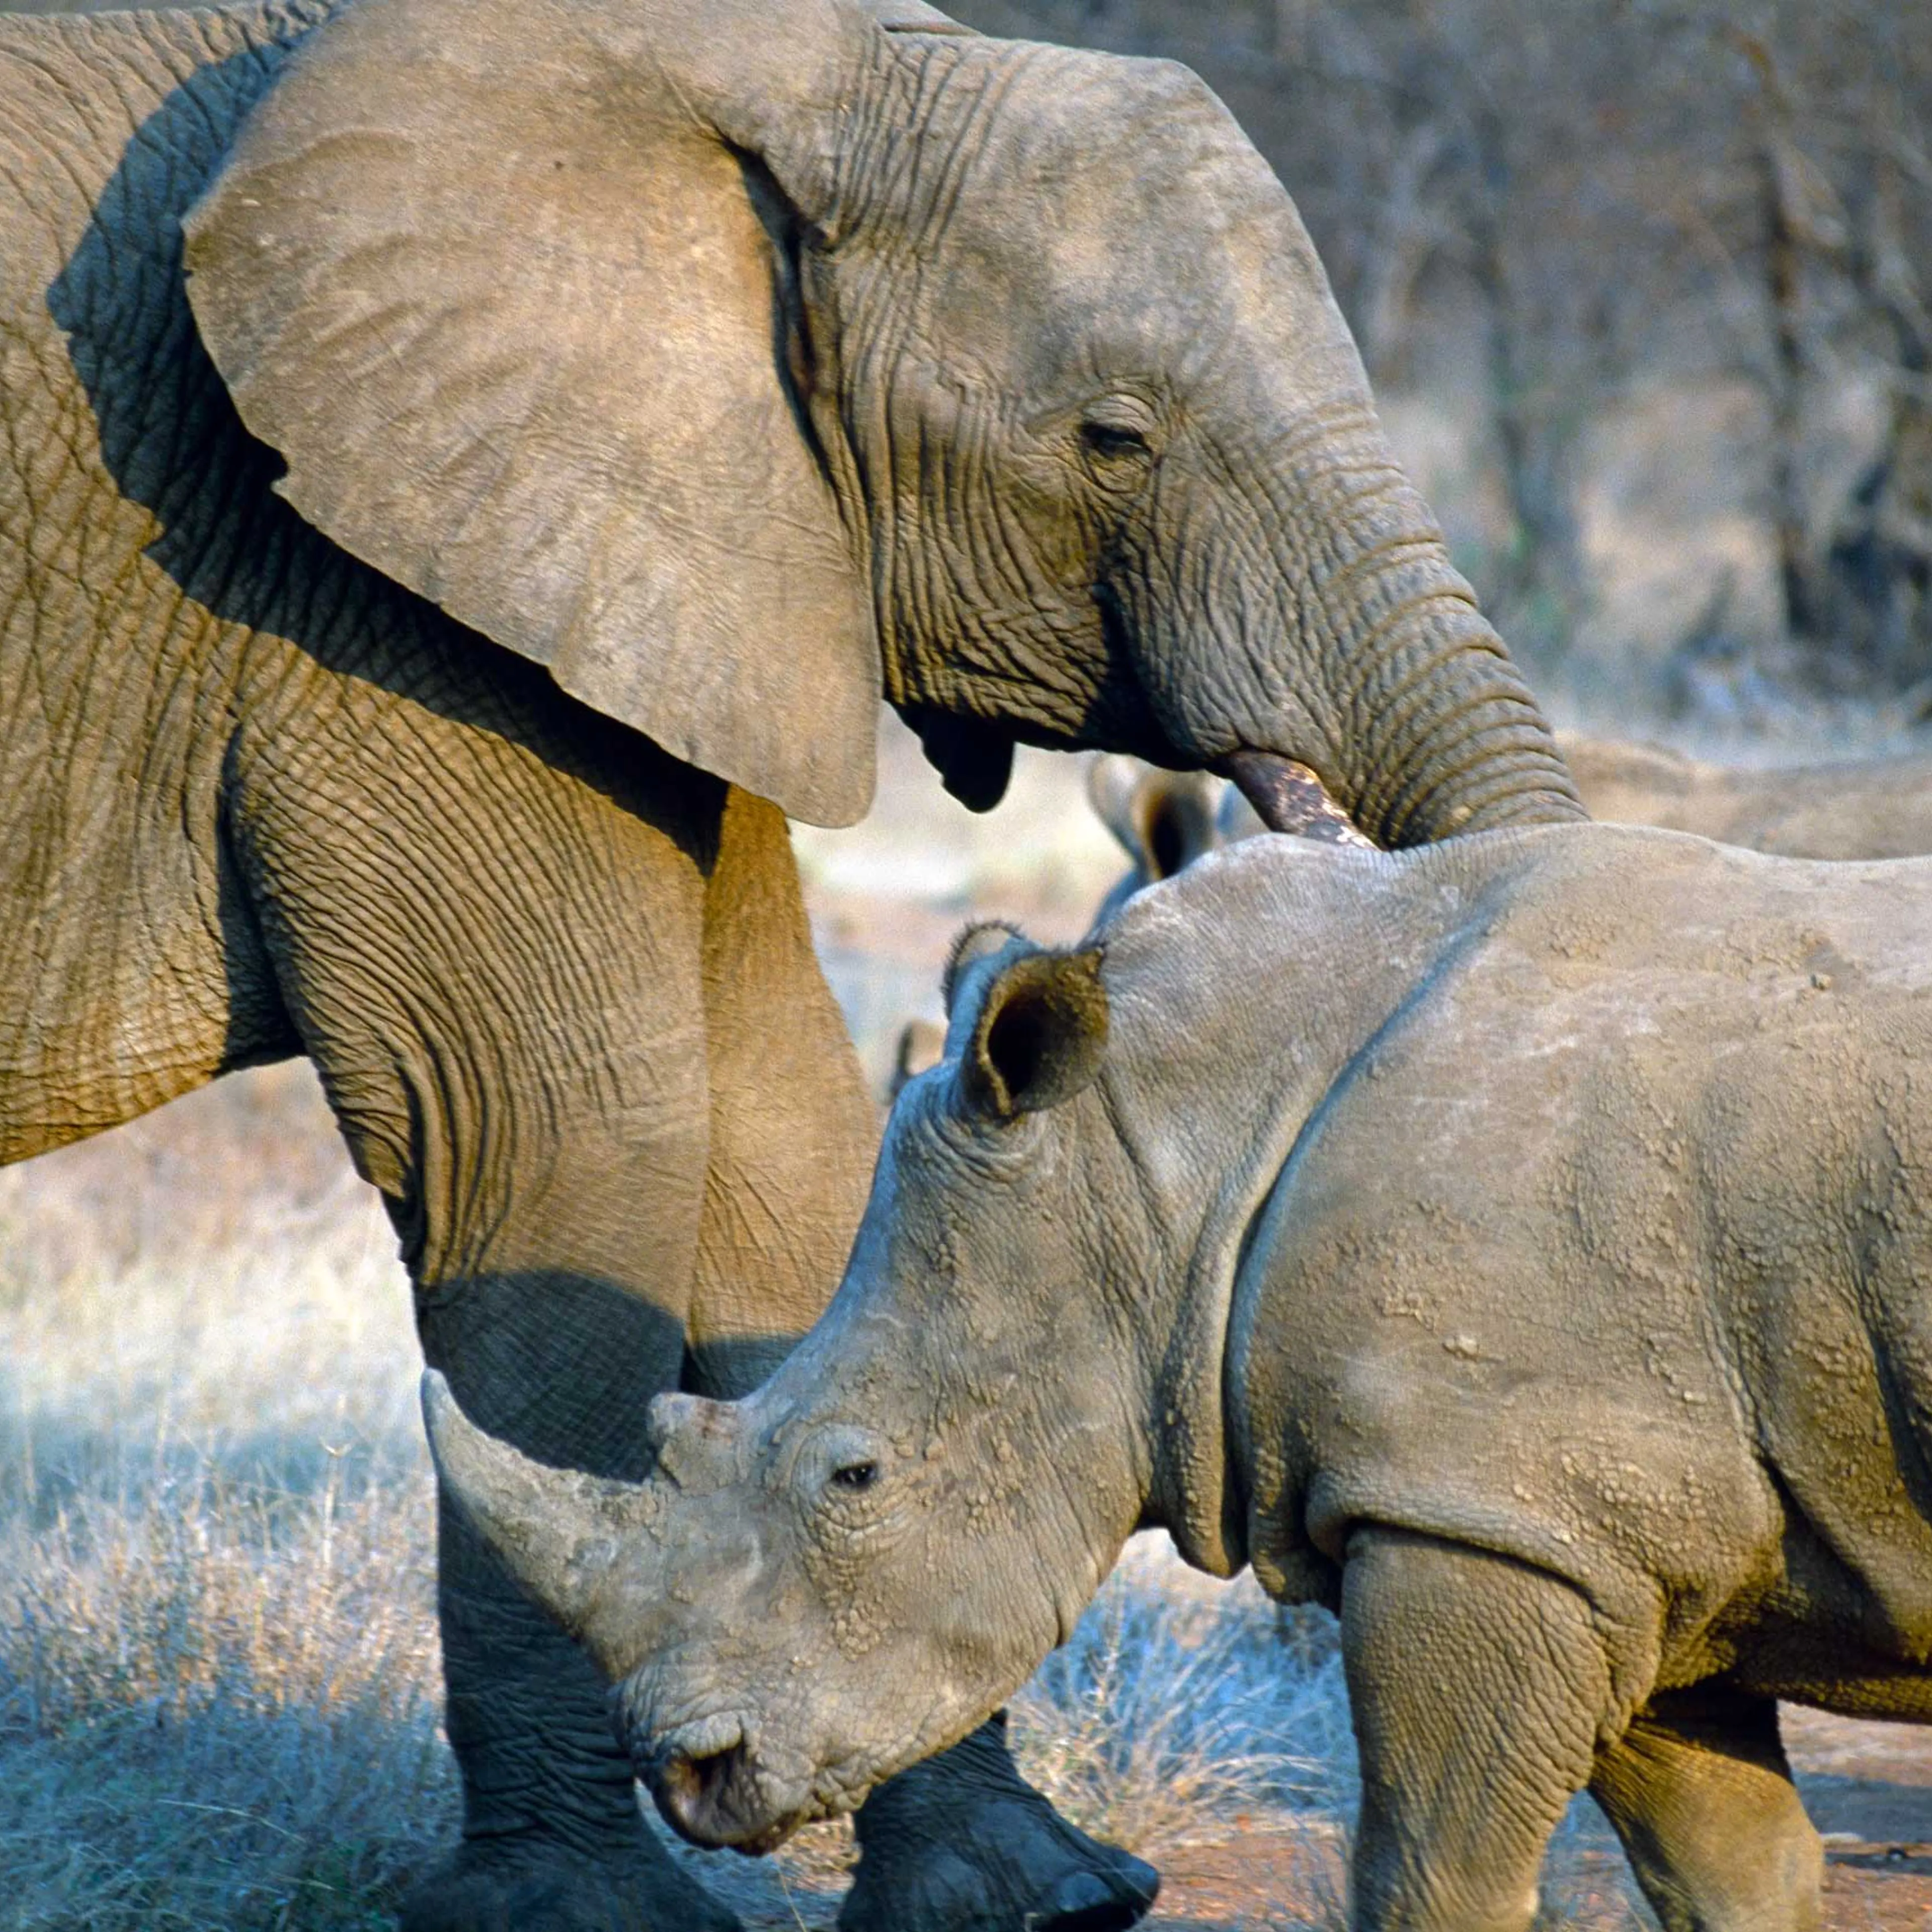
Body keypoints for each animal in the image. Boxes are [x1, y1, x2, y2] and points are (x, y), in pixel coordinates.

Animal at [0, 0, 1580, 1924]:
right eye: (1112, 437)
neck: (770, 59)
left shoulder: (698, 572)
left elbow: (779, 1124)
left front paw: (1031, 1895)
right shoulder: (355, 592)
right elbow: (559, 1139)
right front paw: (585, 1916)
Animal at [426, 822, 1932, 1932]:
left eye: (853, 1475)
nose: (688, 1770)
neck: (1169, 1159)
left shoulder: (1483, 1511)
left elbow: (1431, 1872)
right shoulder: (1610, 1527)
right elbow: (1731, 1867)